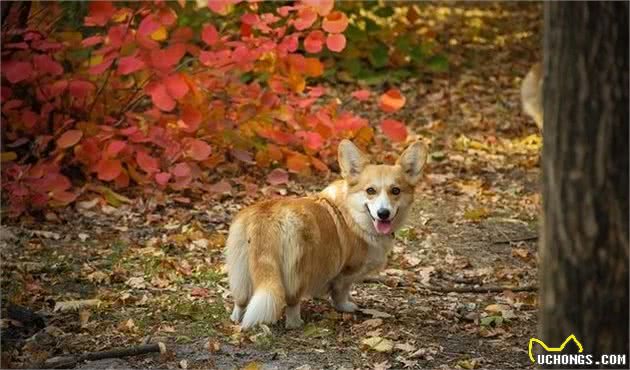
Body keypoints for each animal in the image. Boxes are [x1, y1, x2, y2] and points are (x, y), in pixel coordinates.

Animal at [227, 139, 430, 330]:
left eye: (396, 191)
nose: (383, 213)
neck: (353, 212)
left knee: (241, 301)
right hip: (297, 273)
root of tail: (266, 217)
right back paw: (296, 323)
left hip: (241, 269)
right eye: (370, 190)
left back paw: (237, 319)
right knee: (292, 303)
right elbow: (341, 292)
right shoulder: (346, 272)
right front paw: (346, 306)